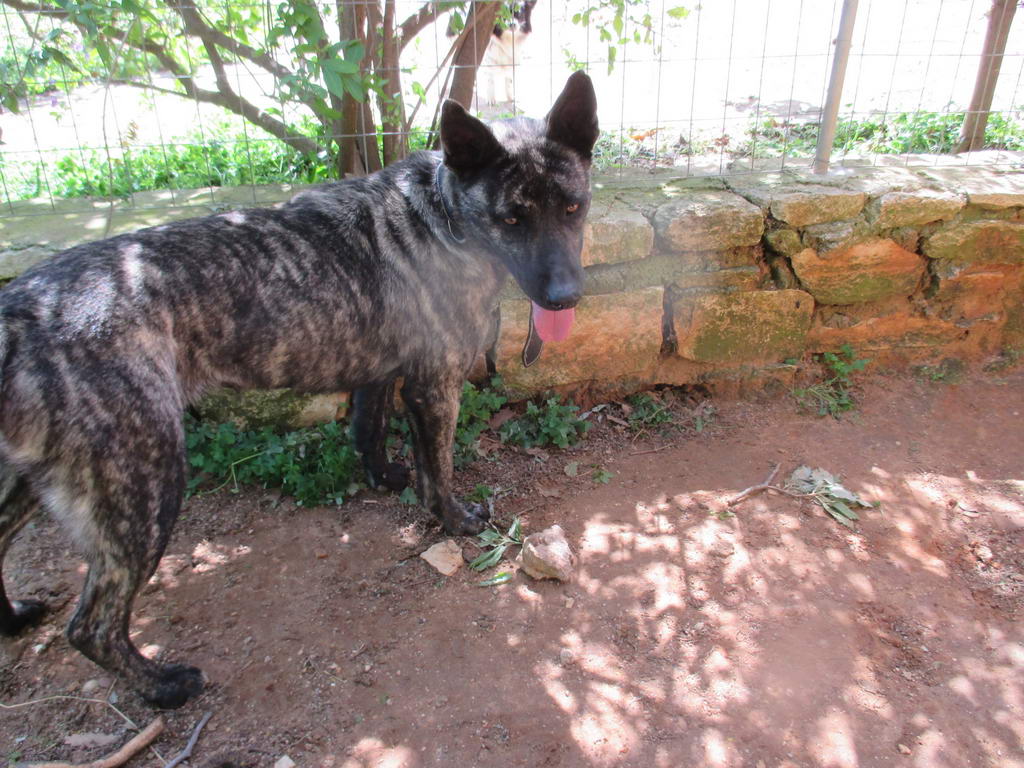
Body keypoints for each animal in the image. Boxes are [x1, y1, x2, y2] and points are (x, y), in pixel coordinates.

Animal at [0, 71, 598, 709]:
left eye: (573, 207)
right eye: (511, 219)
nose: (564, 298)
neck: (445, 215)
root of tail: (20, 311)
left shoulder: (380, 374)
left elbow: (368, 430)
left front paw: (383, 478)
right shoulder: (435, 386)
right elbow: (437, 469)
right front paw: (455, 520)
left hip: (41, 476)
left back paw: (14, 618)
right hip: (145, 484)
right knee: (91, 625)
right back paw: (162, 684)